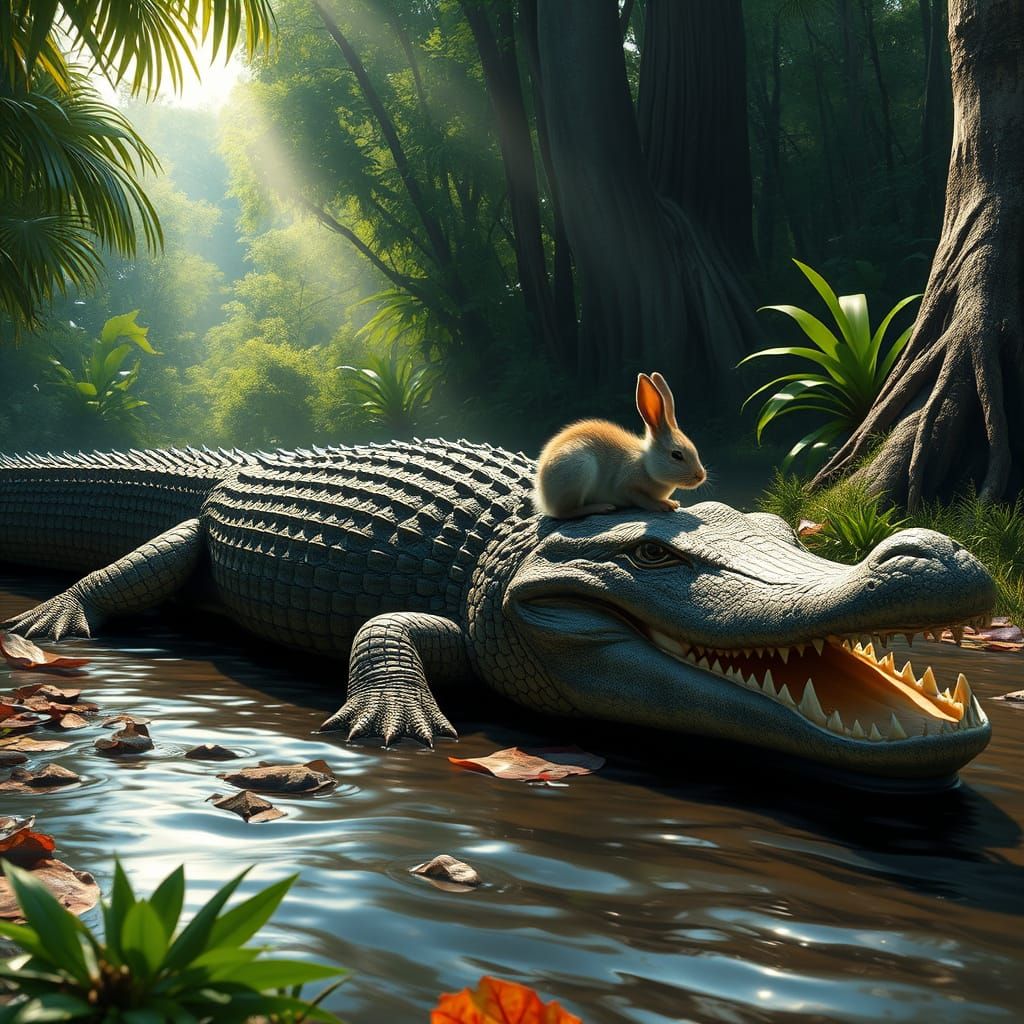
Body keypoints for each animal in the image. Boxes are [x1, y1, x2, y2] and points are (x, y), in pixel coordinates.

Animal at [533, 372, 706, 518]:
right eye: (676, 455)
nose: (700, 476)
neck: (646, 465)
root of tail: (543, 497)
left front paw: (671, 502)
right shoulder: (626, 487)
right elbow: (641, 499)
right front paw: (663, 505)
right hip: (579, 468)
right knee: (565, 513)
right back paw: (602, 507)